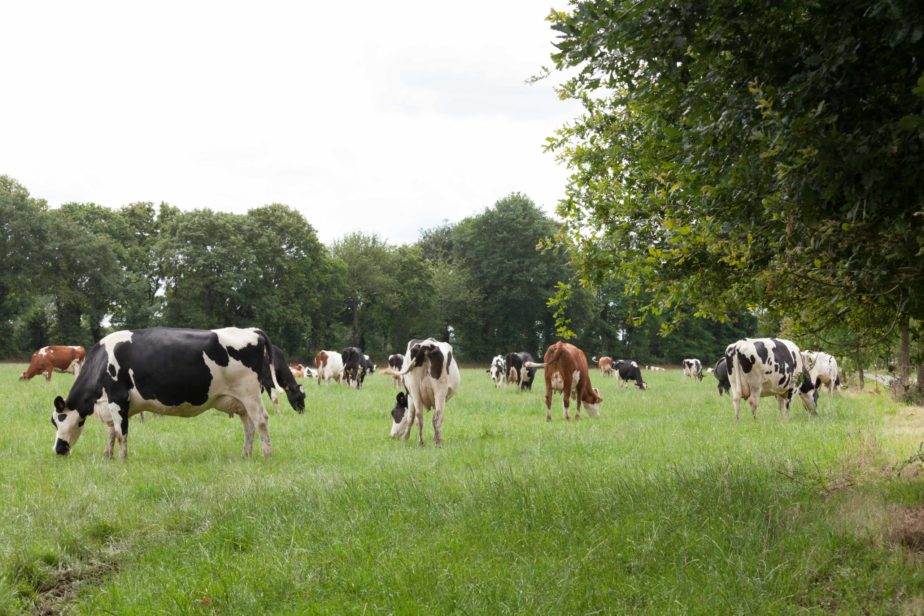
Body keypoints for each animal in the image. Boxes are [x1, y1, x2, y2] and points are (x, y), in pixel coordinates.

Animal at [50, 330, 278, 460]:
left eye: (58, 420)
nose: (58, 449)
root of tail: (253, 333)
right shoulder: (110, 405)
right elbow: (111, 433)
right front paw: (108, 456)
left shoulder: (118, 399)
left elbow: (121, 434)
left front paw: (123, 460)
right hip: (240, 400)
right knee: (248, 426)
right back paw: (246, 454)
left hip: (250, 394)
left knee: (261, 421)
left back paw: (267, 455)